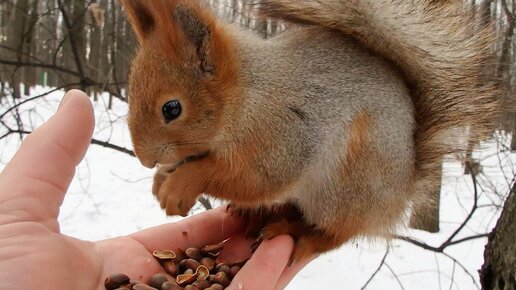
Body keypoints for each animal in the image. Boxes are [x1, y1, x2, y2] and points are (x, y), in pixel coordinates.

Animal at [120, 0, 500, 262]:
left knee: (335, 233)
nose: (144, 160)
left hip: (346, 186)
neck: (244, 99)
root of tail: (401, 192)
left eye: (172, 108)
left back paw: (297, 235)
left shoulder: (283, 138)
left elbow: (248, 177)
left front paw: (179, 185)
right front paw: (162, 178)